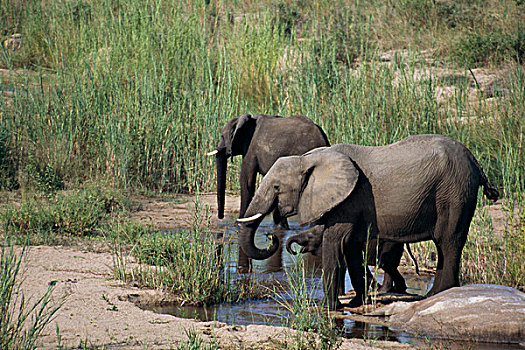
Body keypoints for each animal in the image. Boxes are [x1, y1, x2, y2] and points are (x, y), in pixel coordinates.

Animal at [235, 134, 498, 308]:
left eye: (276, 188)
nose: (271, 238)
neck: (307, 159)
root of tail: (474, 159)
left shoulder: (349, 200)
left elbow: (335, 243)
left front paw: (327, 308)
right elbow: (350, 248)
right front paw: (355, 303)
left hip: (456, 192)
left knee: (449, 241)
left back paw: (439, 293)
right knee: (444, 245)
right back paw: (432, 295)